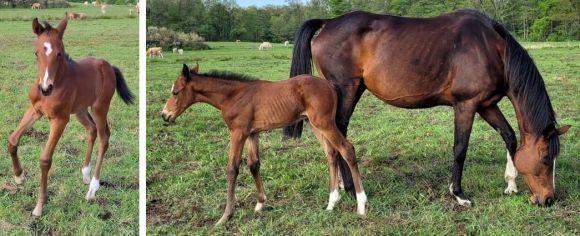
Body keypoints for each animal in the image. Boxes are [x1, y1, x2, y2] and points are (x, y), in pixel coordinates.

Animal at [7, 15, 135, 217]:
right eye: (36, 53)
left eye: (60, 53)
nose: (45, 88)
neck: (58, 81)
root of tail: (108, 66)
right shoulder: (35, 110)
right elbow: (13, 139)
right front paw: (19, 176)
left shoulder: (60, 119)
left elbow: (45, 159)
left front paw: (40, 205)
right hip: (80, 111)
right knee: (92, 130)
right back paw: (85, 173)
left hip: (99, 108)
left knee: (104, 138)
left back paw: (93, 188)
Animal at [161, 64, 364, 225]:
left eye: (175, 92)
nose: (164, 115)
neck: (232, 96)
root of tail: (329, 85)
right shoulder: (252, 133)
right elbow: (254, 165)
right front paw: (260, 203)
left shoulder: (238, 133)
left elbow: (232, 169)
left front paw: (225, 216)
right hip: (314, 124)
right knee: (331, 153)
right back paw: (332, 203)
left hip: (324, 123)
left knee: (347, 149)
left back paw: (361, 205)